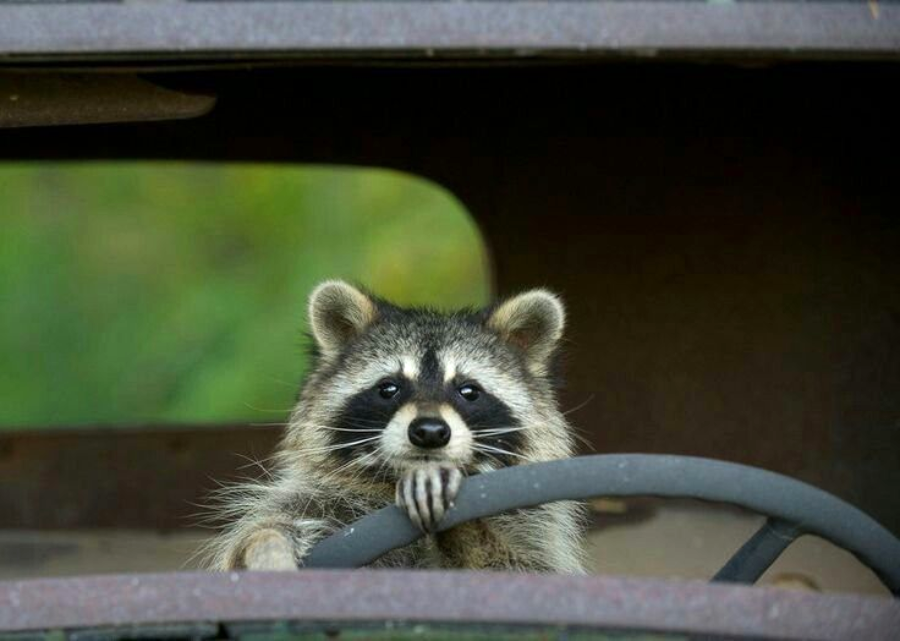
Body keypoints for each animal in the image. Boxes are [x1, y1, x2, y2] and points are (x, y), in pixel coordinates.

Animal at [204, 280, 585, 573]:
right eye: (389, 388)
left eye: (468, 391)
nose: (429, 432)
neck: (400, 479)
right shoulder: (317, 499)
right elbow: (259, 532)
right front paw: (266, 547)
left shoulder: (533, 530)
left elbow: (519, 567)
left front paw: (463, 518)